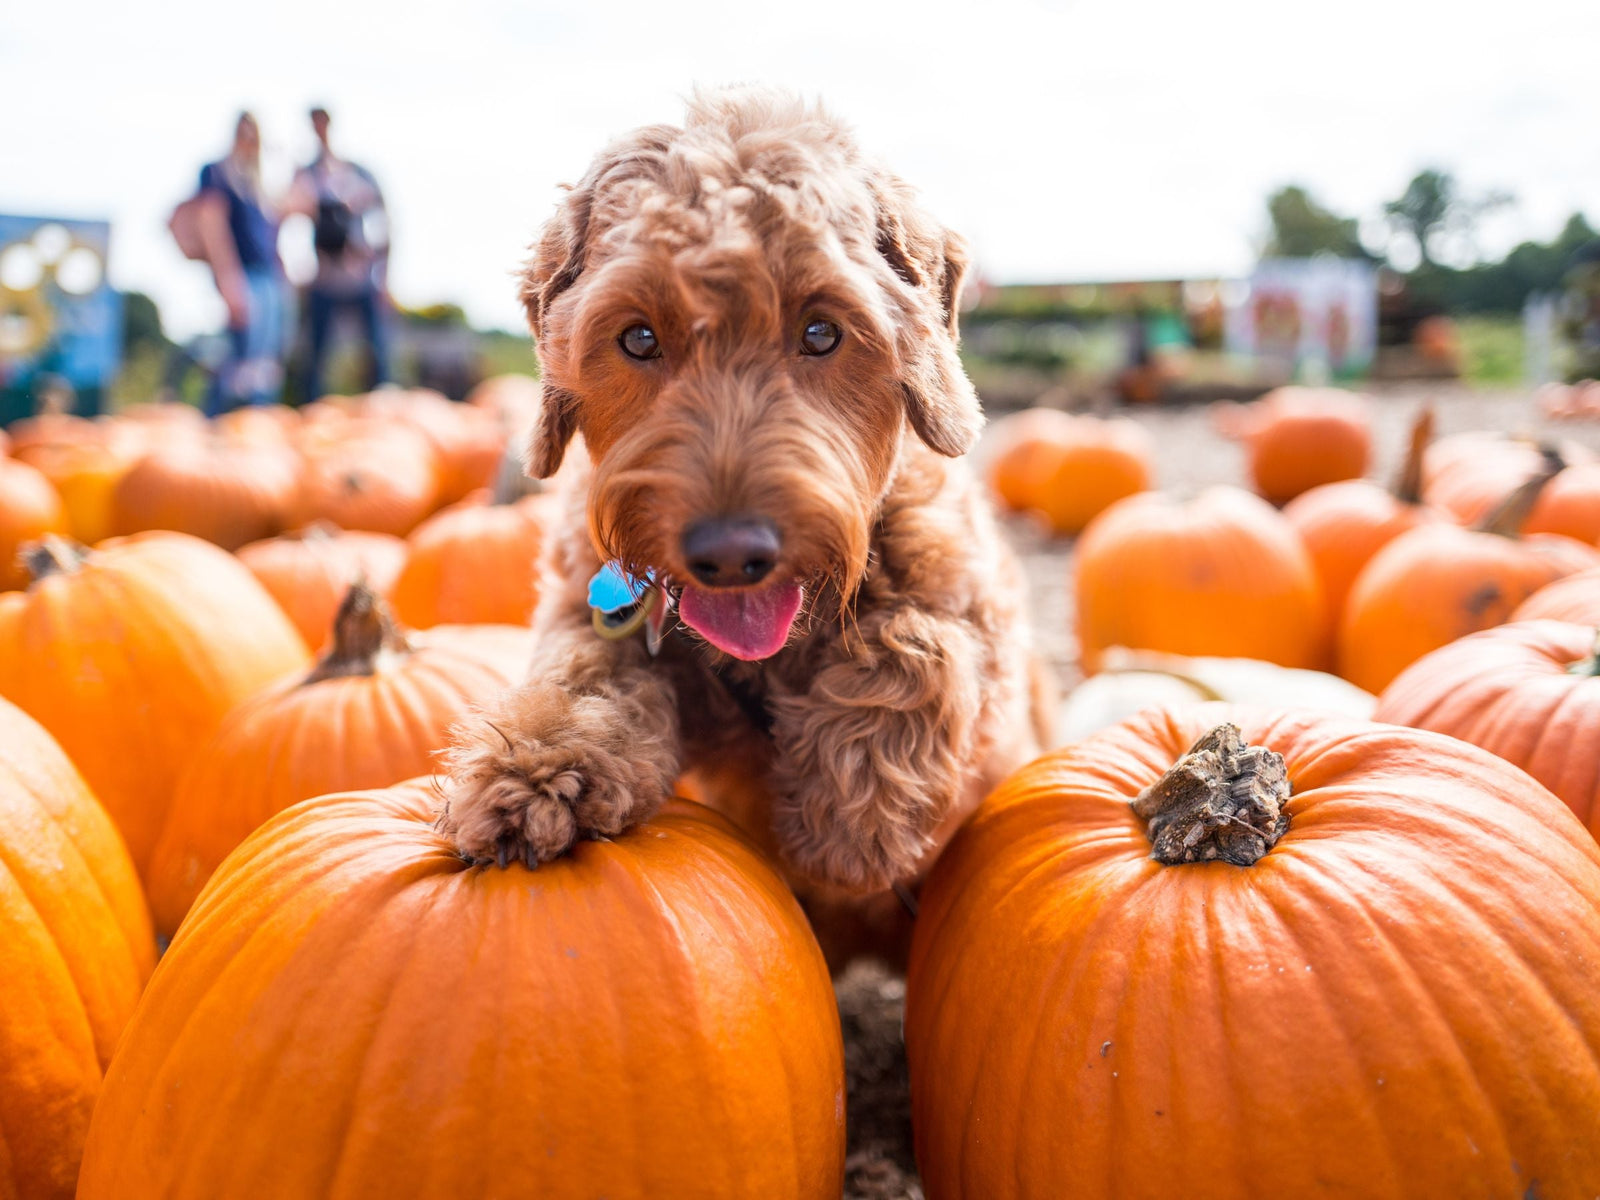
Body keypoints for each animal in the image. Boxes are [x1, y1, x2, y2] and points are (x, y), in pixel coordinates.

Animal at [441, 86, 1049, 928]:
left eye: (821, 330)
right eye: (638, 338)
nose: (731, 555)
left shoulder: (975, 613)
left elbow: (919, 642)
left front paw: (855, 818)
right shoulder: (590, 607)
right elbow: (584, 668)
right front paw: (531, 774)